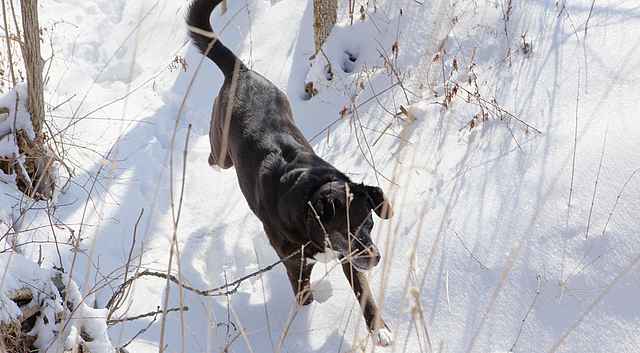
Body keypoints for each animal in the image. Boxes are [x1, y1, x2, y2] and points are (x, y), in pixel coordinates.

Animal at [188, 0, 392, 344]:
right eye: (347, 231)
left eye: (369, 224)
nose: (376, 258)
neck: (310, 202)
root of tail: (242, 72)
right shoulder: (296, 263)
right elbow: (304, 295)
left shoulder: (348, 258)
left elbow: (365, 295)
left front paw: (380, 332)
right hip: (222, 146)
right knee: (214, 158)